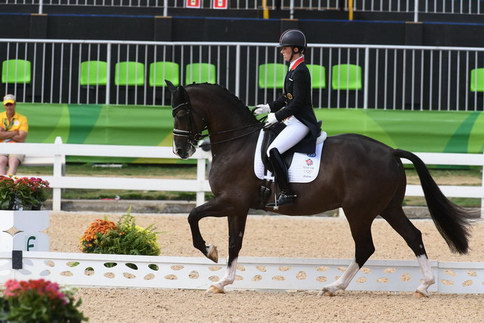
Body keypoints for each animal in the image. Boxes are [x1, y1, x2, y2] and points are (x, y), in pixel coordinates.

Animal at [167, 81, 472, 298]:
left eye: (182, 113)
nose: (181, 151)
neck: (236, 142)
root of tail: (390, 152)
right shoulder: (237, 207)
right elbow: (235, 243)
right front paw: (222, 282)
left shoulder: (230, 201)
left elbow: (193, 216)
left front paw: (209, 251)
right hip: (389, 207)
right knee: (413, 236)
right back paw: (424, 285)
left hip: (359, 211)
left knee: (365, 247)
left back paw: (334, 286)